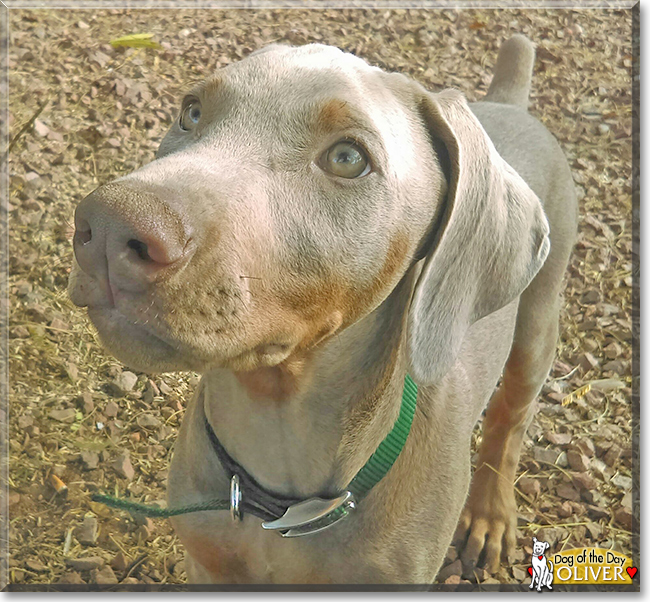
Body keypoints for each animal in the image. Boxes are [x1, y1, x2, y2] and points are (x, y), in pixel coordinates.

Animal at [68, 34, 576, 580]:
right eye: (191, 112)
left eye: (348, 158)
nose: (107, 227)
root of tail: (507, 103)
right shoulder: (208, 567)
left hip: (538, 325)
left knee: (511, 419)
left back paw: (489, 515)